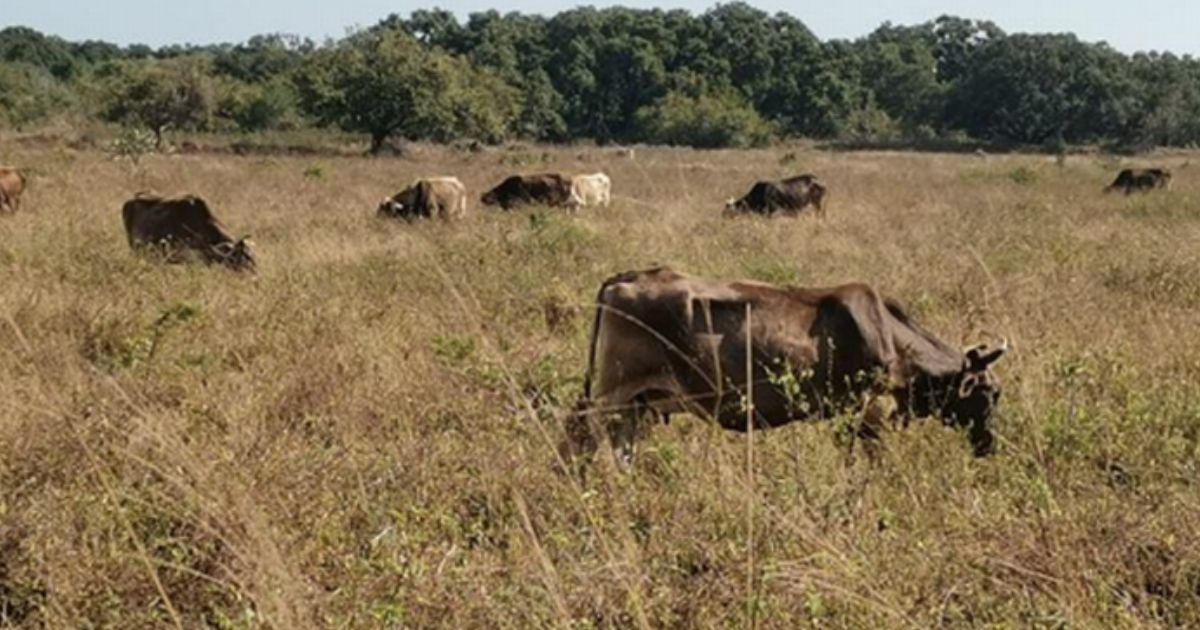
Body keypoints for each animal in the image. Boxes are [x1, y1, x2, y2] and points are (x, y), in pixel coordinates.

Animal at [561, 266, 1003, 465]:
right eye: (991, 393)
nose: (989, 445)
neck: (892, 338)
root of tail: (629, 277)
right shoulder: (863, 411)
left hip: (638, 403)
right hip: (614, 392)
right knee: (580, 431)